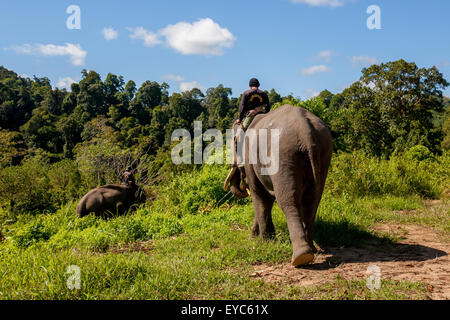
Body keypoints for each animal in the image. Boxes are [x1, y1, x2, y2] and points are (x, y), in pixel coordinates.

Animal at [224, 104, 332, 266]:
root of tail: (306, 131)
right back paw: (311, 248)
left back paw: (301, 257)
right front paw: (260, 237)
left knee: (288, 201)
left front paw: (263, 241)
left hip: (283, 156)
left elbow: (260, 196)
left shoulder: (251, 160)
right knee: (312, 200)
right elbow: (267, 199)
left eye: (233, 145)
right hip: (323, 153)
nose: (243, 185)